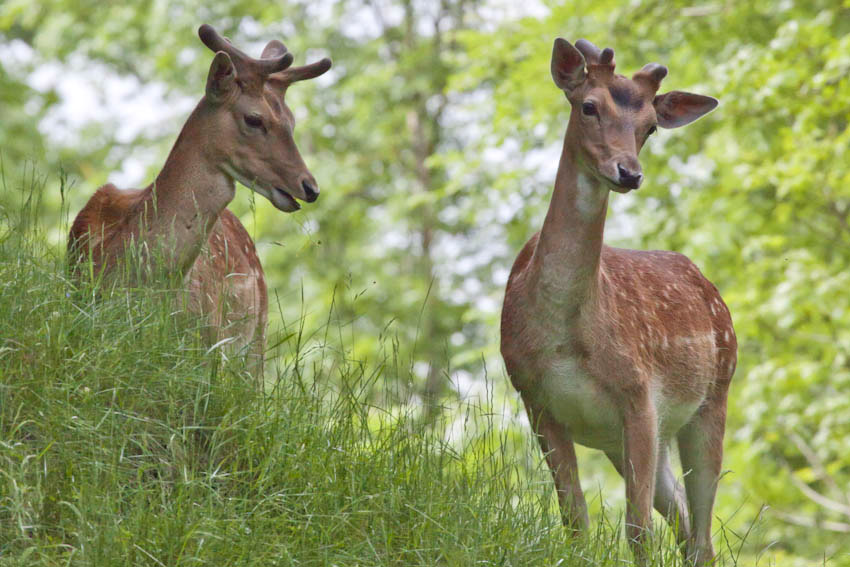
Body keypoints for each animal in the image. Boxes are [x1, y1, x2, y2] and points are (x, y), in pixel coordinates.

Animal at [500, 38, 732, 564]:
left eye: (650, 126)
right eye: (588, 106)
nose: (629, 173)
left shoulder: (639, 392)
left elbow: (638, 529)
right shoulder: (534, 397)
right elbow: (576, 521)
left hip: (714, 396)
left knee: (702, 536)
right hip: (632, 438)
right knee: (684, 522)